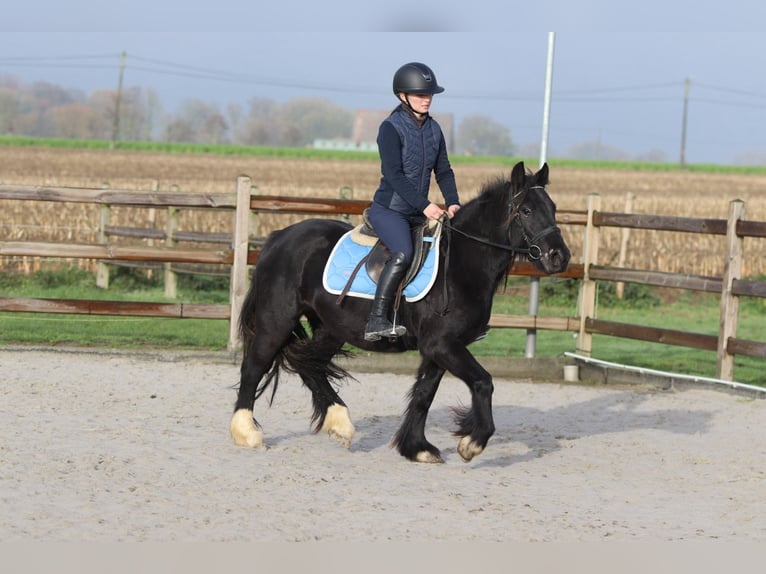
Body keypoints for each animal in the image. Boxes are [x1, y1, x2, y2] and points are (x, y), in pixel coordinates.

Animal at [230, 161, 570, 463]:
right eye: (526, 211)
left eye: (553, 208)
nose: (560, 257)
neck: (460, 264)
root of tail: (278, 238)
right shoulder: (442, 344)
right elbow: (483, 382)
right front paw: (472, 443)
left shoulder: (439, 348)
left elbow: (424, 394)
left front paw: (417, 448)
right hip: (277, 320)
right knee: (255, 366)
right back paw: (247, 433)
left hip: (331, 329)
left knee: (309, 366)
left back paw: (340, 423)